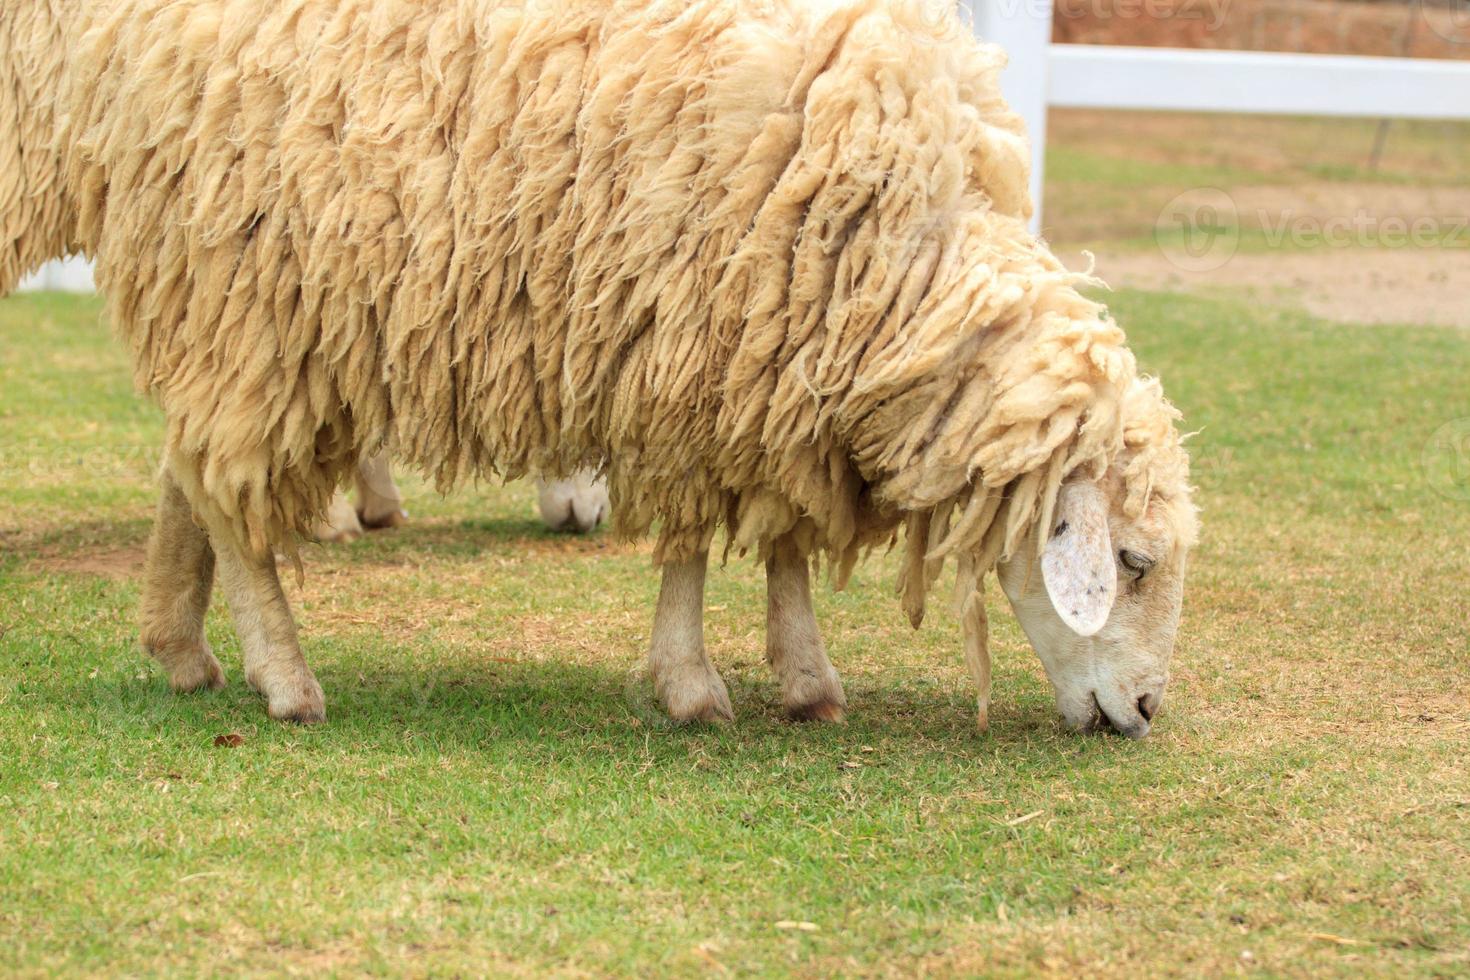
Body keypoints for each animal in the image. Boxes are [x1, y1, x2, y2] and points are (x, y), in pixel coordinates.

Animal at [2, 0, 1193, 734]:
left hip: (256, 317)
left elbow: (785, 546)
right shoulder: (706, 367)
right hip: (251, 292)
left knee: (192, 465)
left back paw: (180, 644)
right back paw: (285, 676)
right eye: (1131, 563)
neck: (902, 274)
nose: (1143, 715)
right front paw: (692, 682)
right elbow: (693, 548)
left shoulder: (781, 385)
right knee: (223, 487)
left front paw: (806, 674)